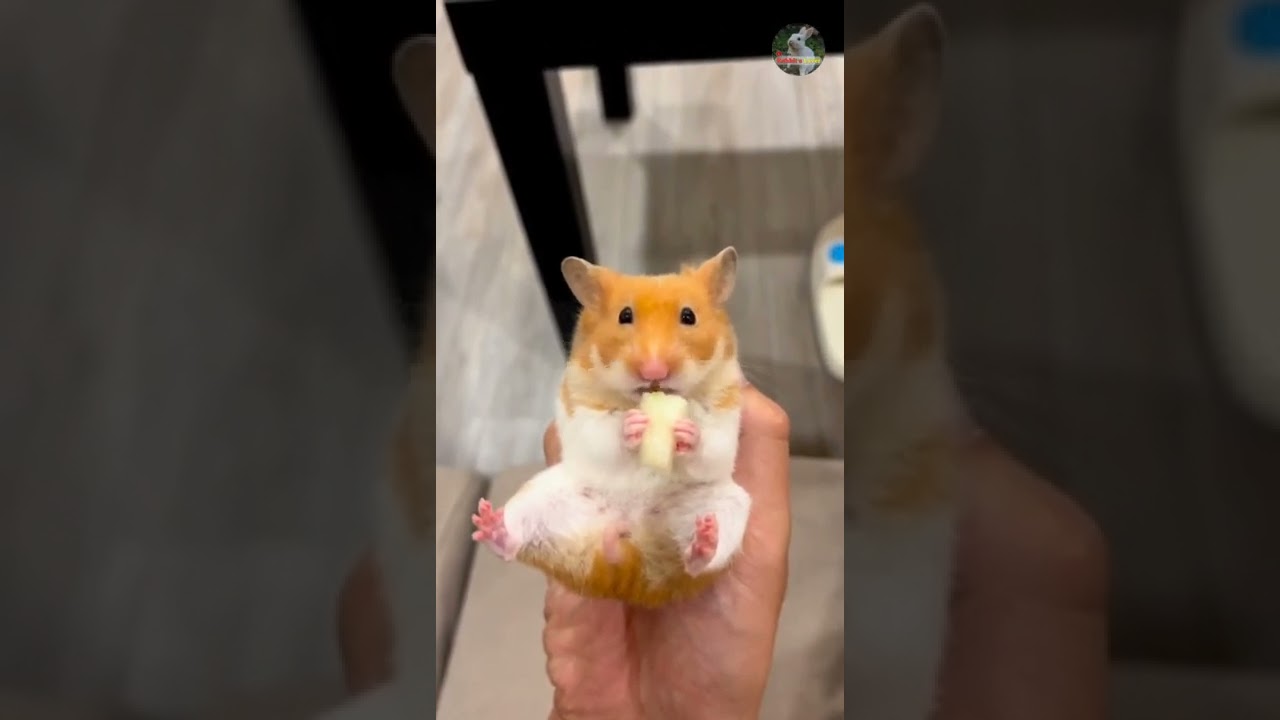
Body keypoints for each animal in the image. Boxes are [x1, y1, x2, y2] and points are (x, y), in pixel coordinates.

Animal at [471, 247, 749, 608]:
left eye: (689, 316)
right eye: (624, 316)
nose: (654, 370)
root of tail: (627, 571)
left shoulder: (726, 414)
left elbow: (713, 445)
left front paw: (687, 432)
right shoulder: (580, 410)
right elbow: (602, 433)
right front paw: (631, 425)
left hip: (727, 506)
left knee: (696, 563)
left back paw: (703, 542)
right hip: (541, 497)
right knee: (512, 541)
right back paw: (490, 524)